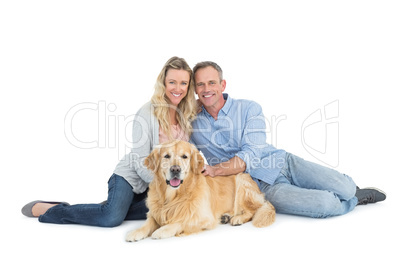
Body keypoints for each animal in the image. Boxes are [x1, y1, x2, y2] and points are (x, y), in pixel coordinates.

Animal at [126, 140, 276, 241]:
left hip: (242, 183)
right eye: (166, 156)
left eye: (184, 156)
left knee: (253, 210)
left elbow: (181, 221)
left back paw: (237, 218)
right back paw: (226, 216)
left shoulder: (204, 218)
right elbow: (148, 223)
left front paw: (162, 230)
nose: (175, 169)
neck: (173, 196)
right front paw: (136, 232)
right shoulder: (155, 212)